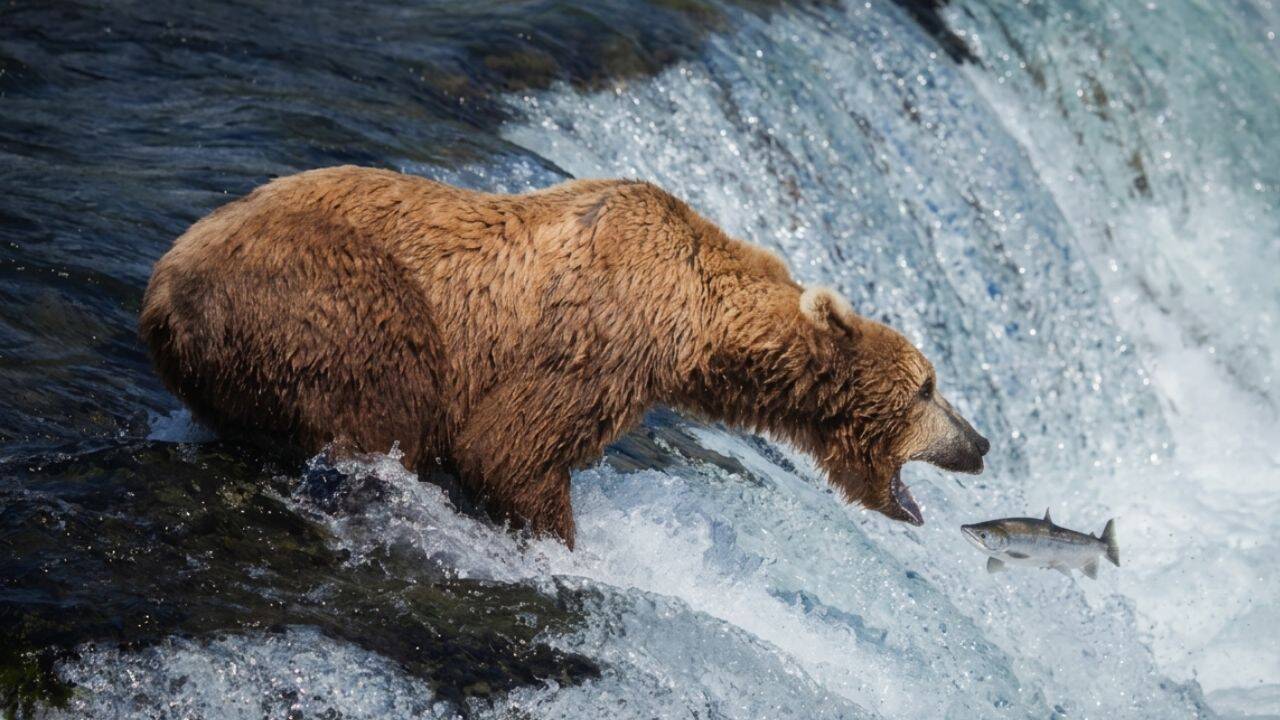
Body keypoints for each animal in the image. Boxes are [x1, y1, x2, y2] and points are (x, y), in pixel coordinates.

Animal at [140, 166, 989, 548]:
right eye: (928, 385)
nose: (980, 442)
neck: (697, 328)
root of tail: (162, 287)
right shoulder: (598, 341)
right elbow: (511, 447)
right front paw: (563, 542)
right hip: (322, 295)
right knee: (386, 398)